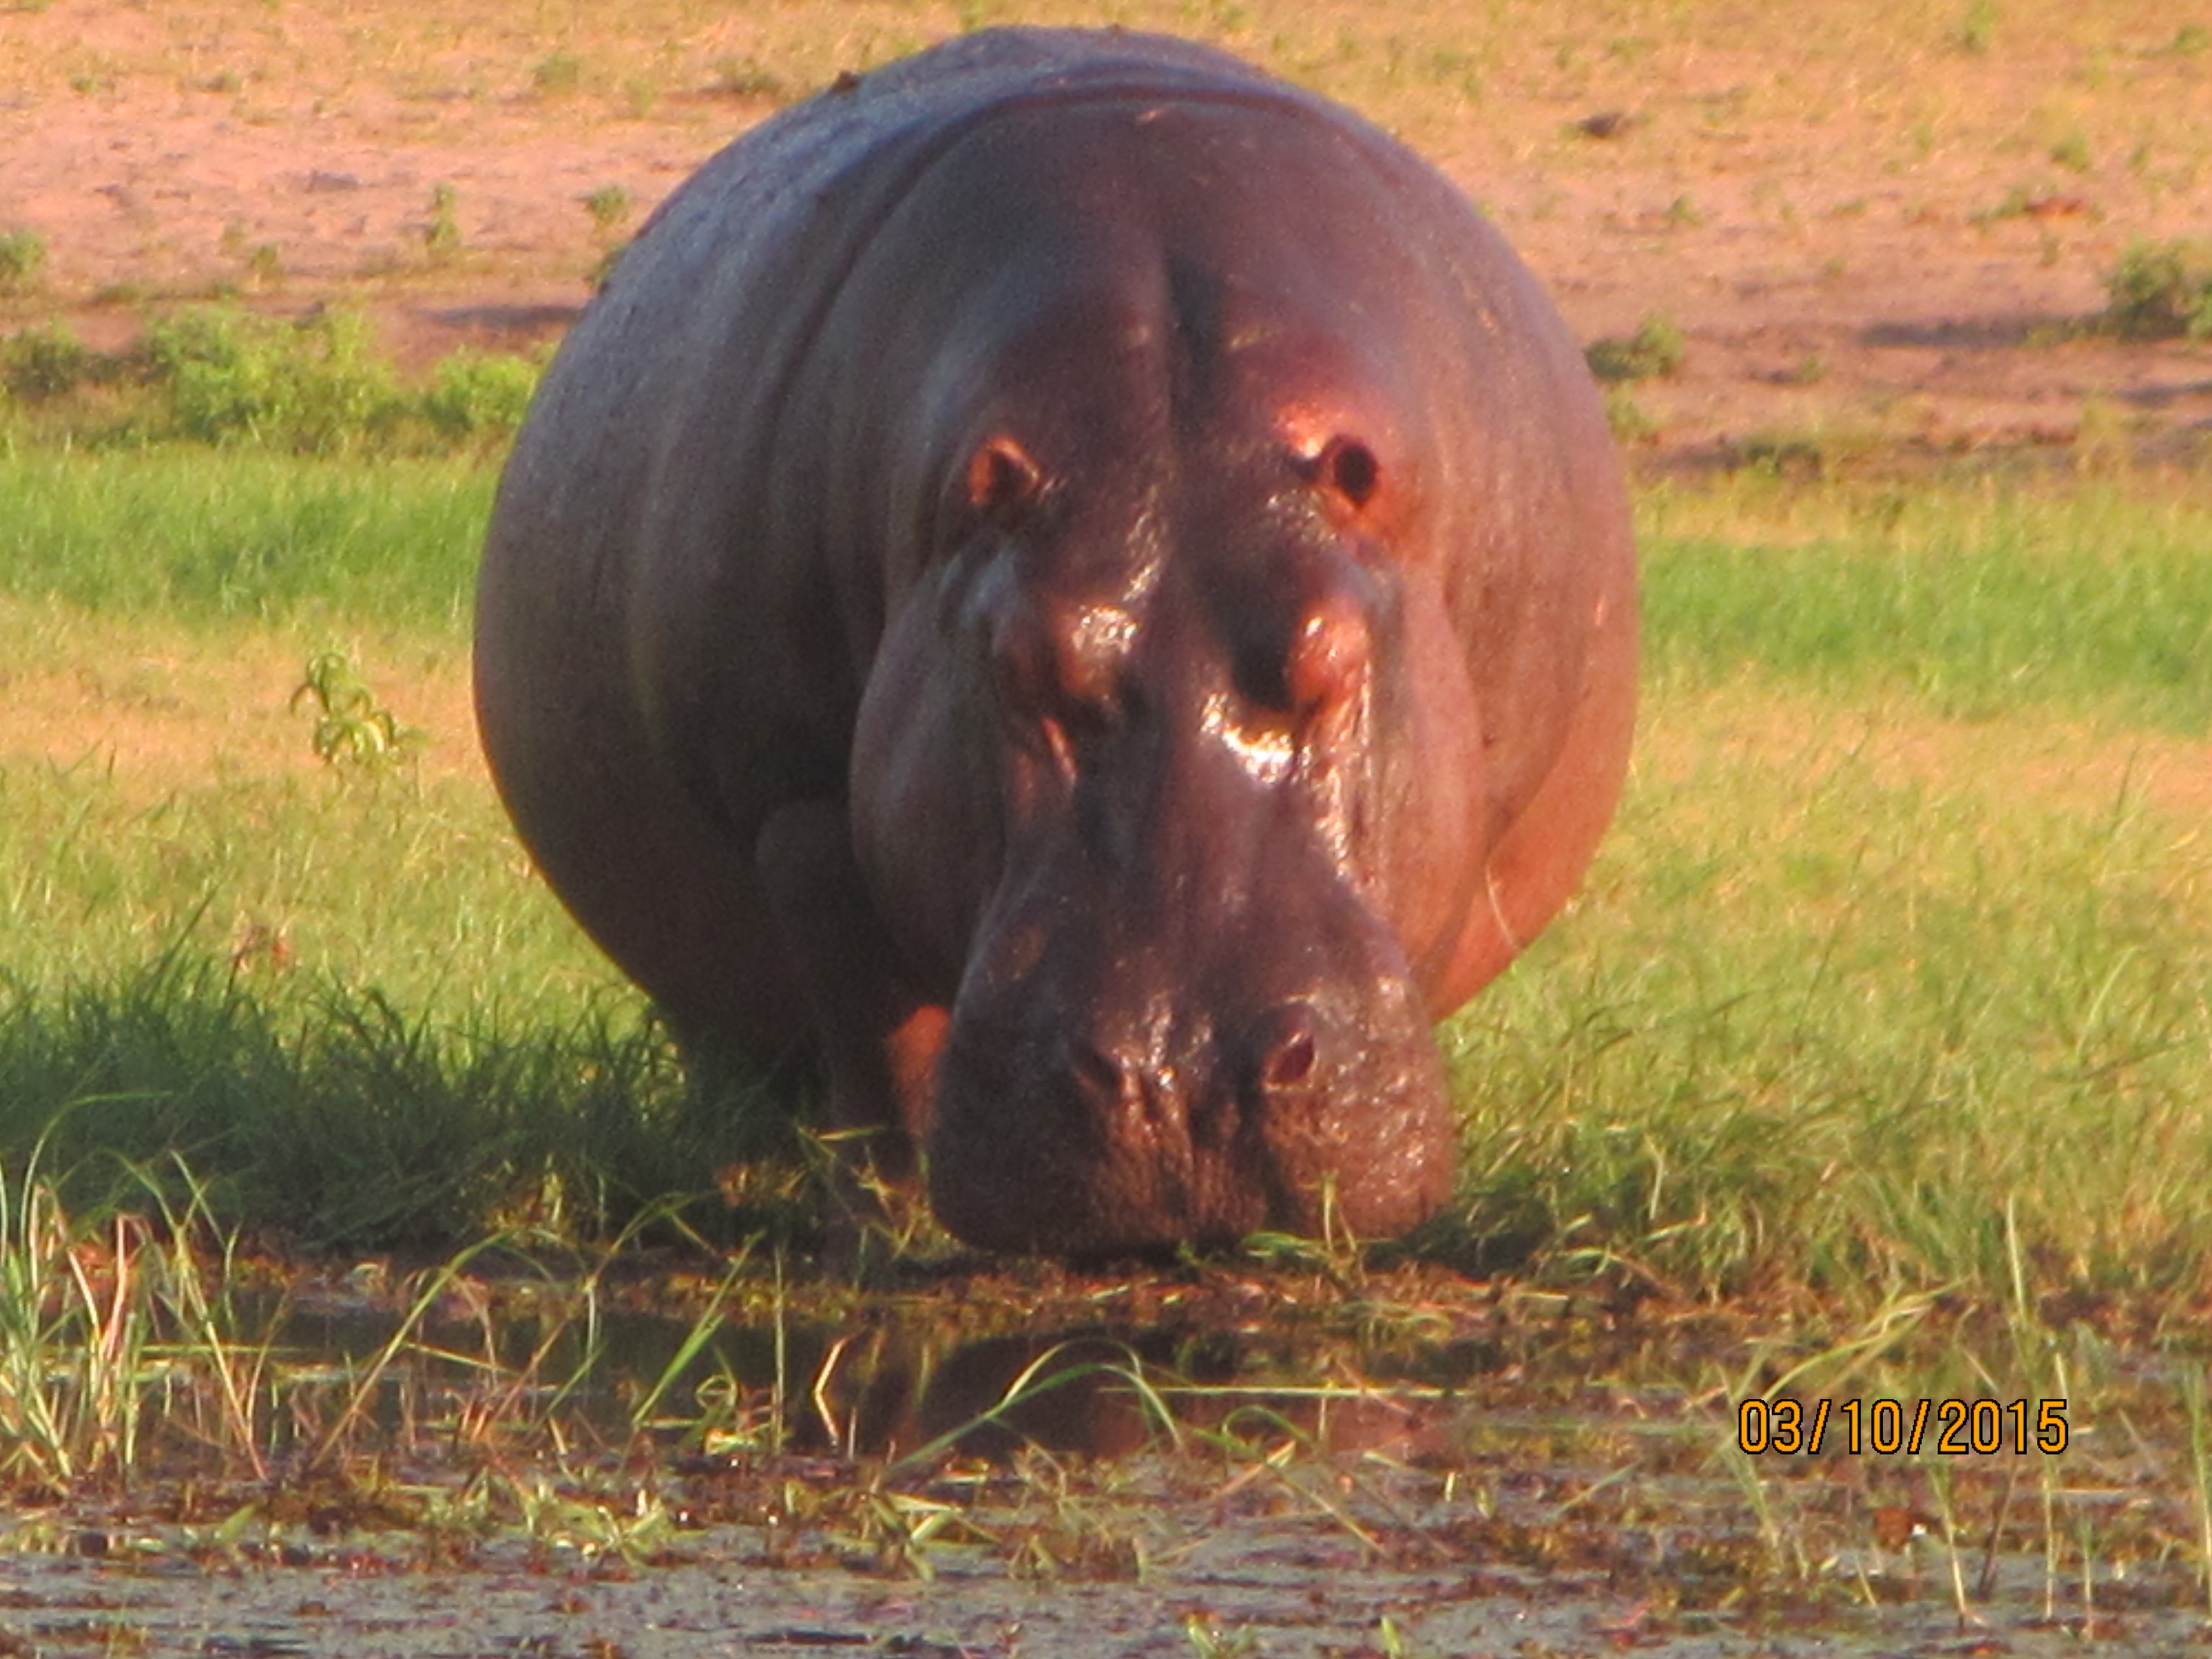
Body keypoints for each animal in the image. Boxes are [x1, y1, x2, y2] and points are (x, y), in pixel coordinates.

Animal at [474, 26, 1636, 1257]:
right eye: (1018, 666)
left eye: (1328, 658)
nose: (1186, 1082)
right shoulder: (796, 800)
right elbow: (870, 1026)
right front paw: (888, 1226)